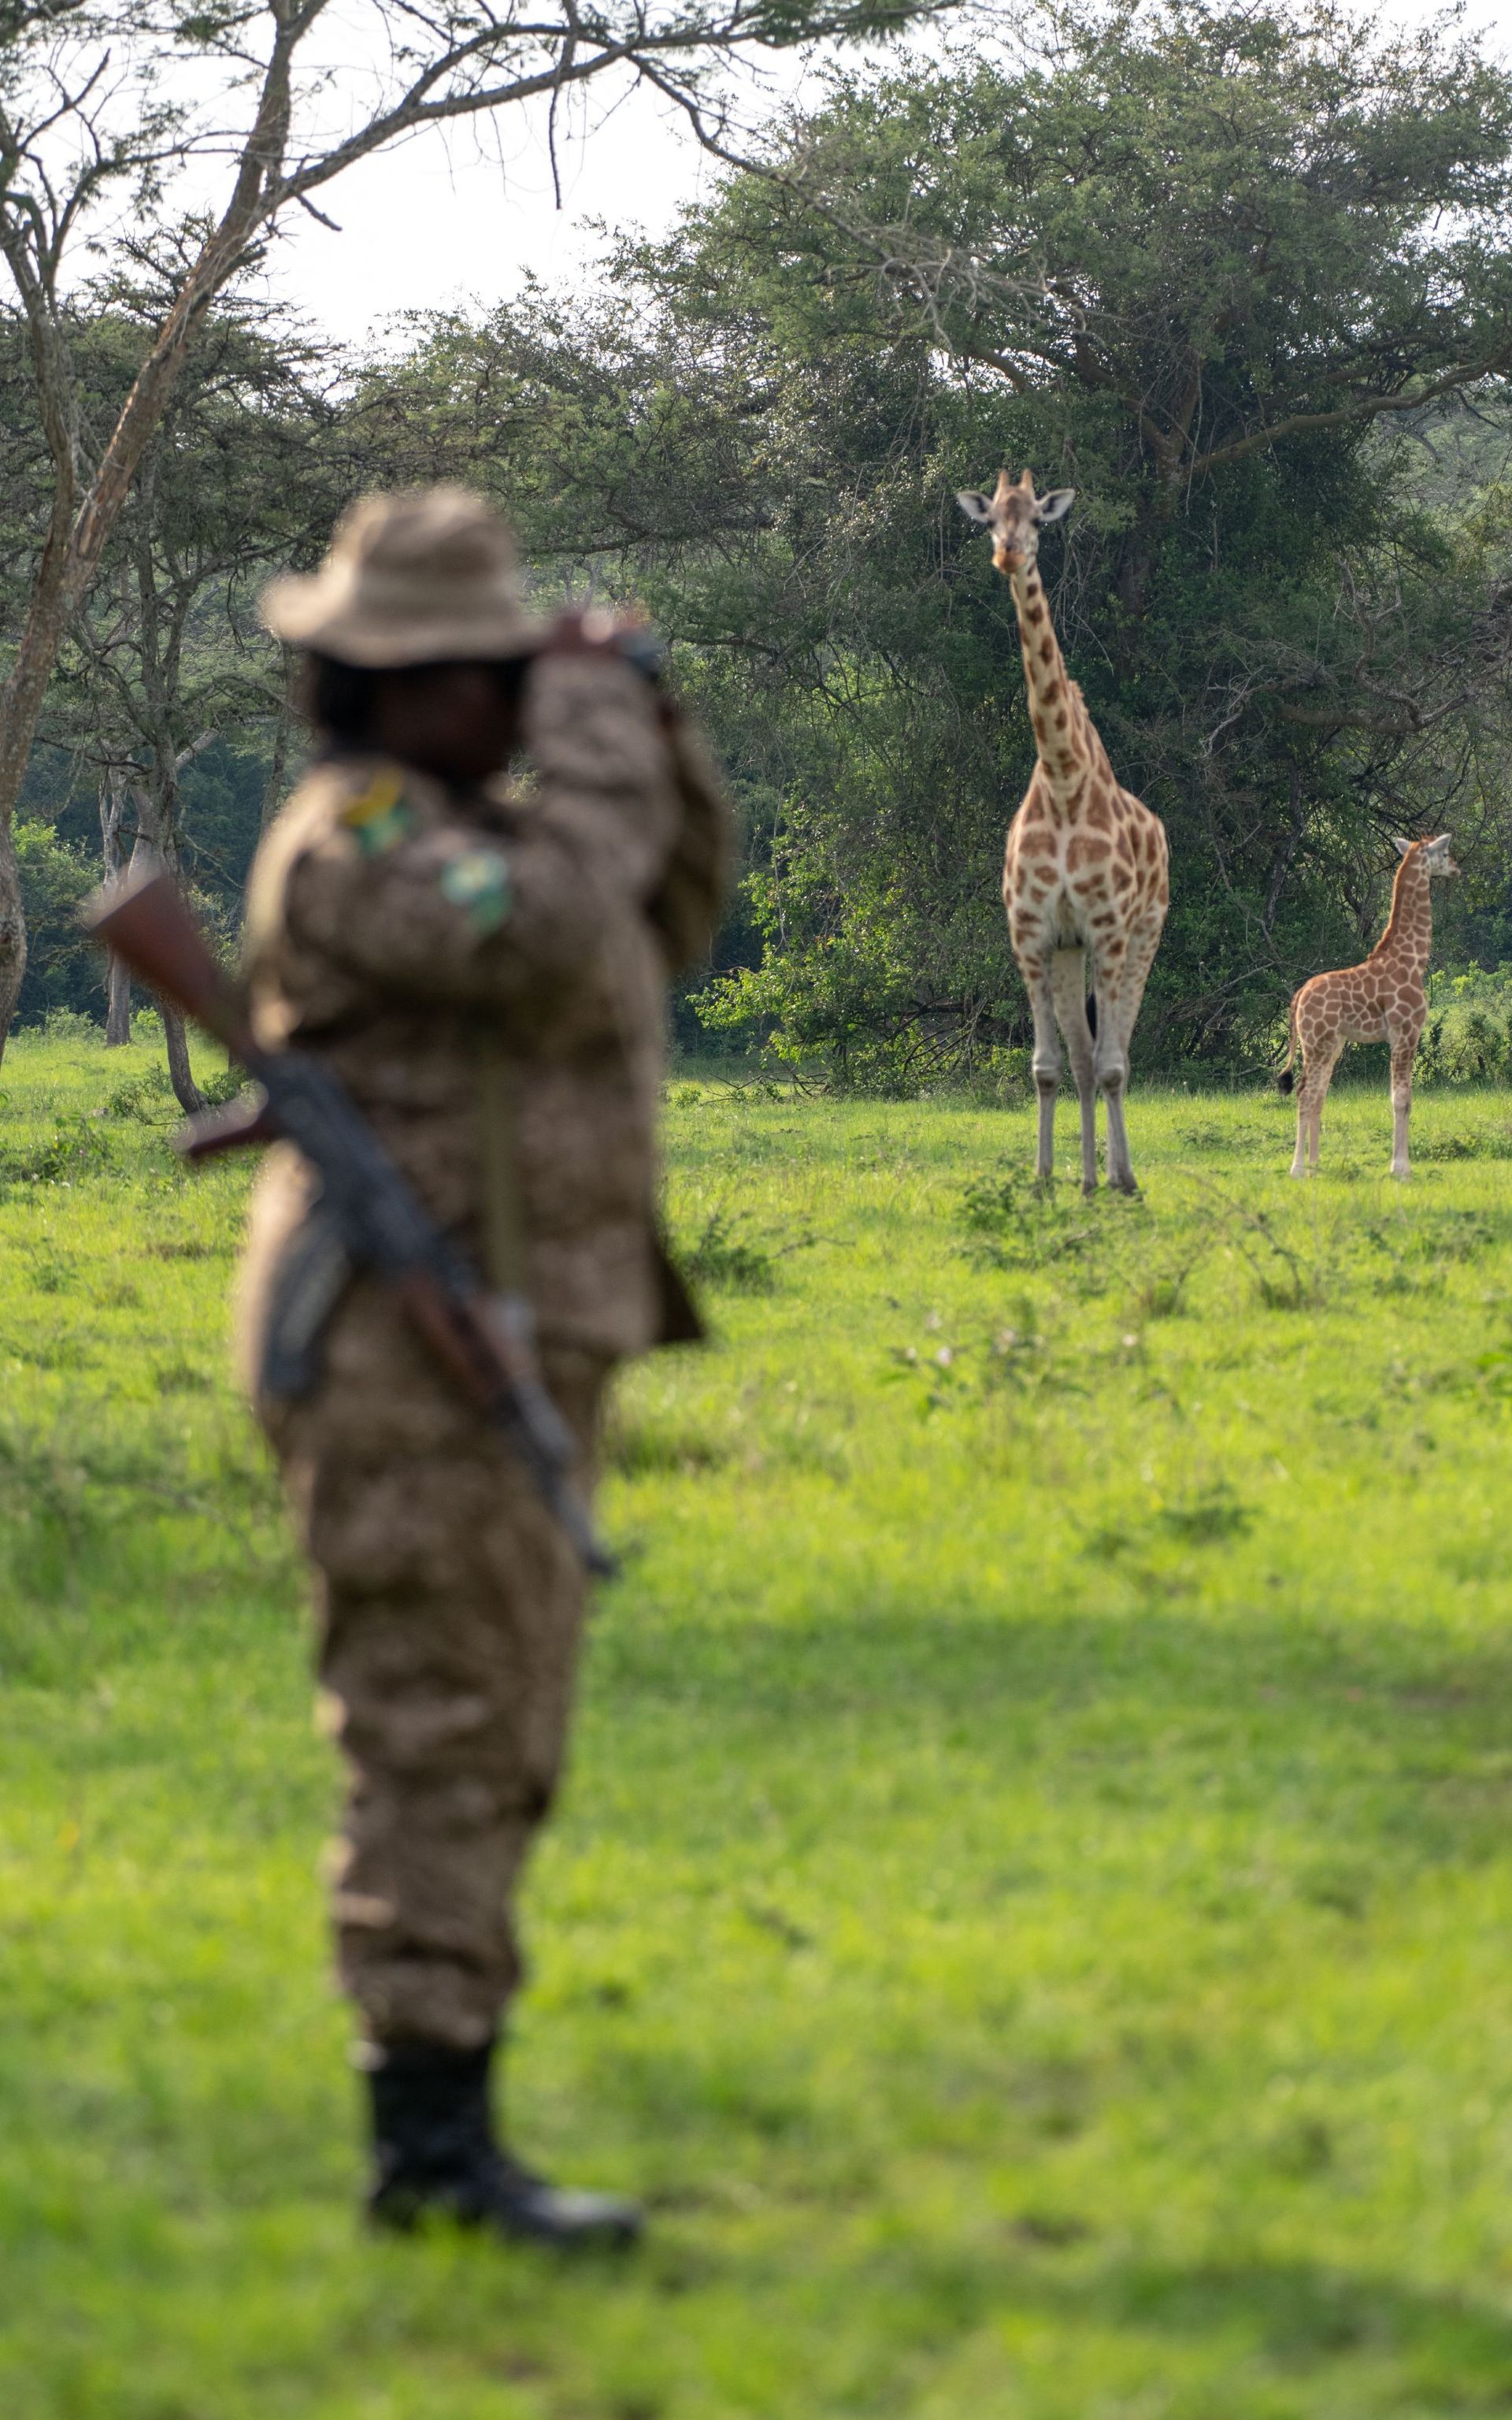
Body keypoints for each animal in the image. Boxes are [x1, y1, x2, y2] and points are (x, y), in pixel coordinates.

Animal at [957, 470, 1169, 1194]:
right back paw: (1085, 1179)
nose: (1008, 555)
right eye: (989, 519)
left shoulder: (1107, 927)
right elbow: (1049, 1067)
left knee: (1116, 1053)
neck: (1063, 776)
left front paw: (1121, 1179)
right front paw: (1046, 1179)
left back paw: (1117, 1176)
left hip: (1141, 935)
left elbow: (1111, 1064)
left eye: (1038, 521)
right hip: (1072, 950)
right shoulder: (1032, 932)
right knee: (1080, 1058)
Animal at [1281, 833, 1458, 1179]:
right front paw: (1401, 1168)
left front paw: (1399, 1165)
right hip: (1318, 1043)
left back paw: (1316, 1164)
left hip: (1329, 1044)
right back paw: (1297, 1168)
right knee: (1306, 1093)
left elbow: (1400, 1097)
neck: (1413, 960)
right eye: (1444, 853)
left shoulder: (1402, 1036)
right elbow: (1402, 1098)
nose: (1457, 868)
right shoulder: (1405, 1032)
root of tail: (1299, 998)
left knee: (1316, 1094)